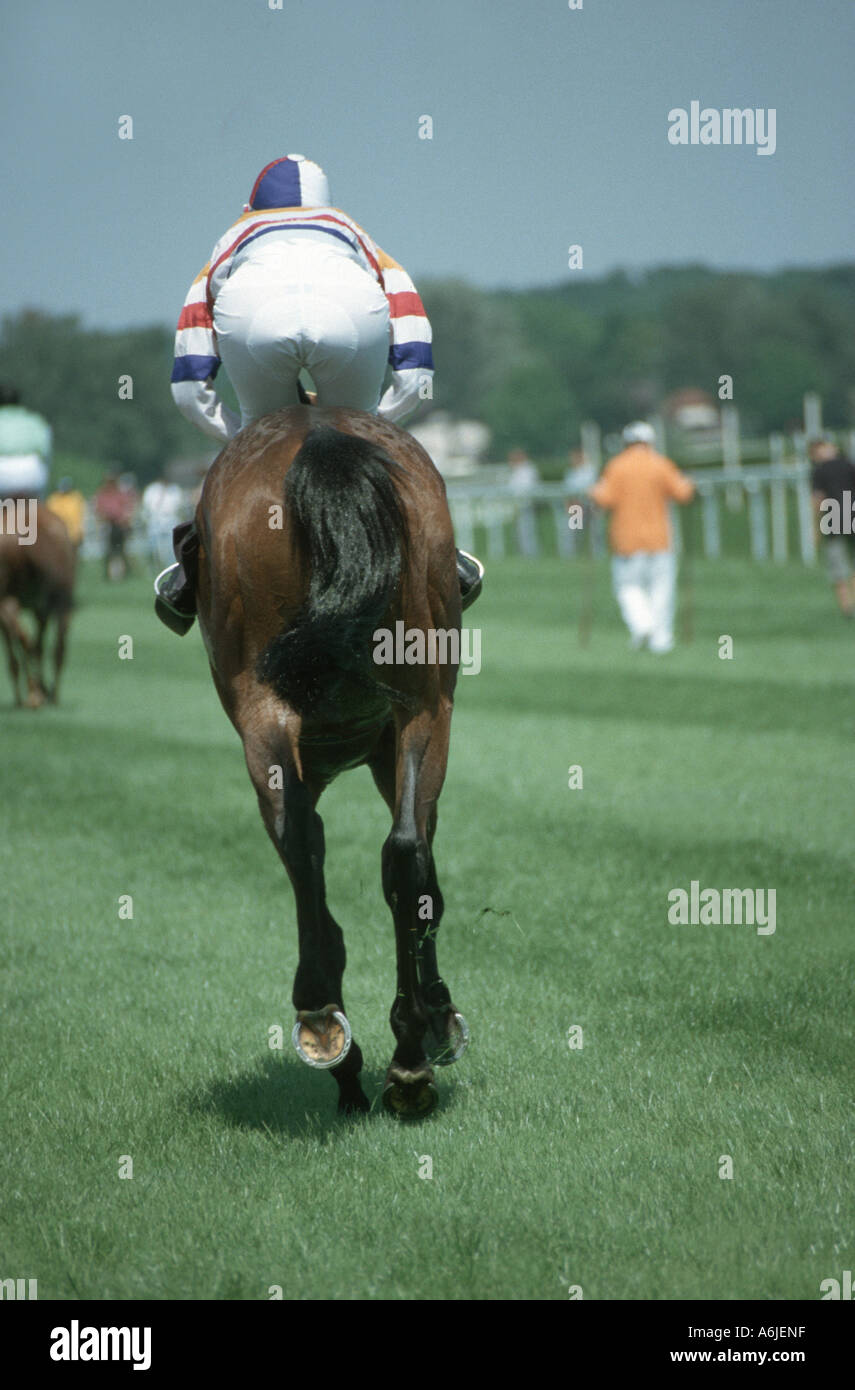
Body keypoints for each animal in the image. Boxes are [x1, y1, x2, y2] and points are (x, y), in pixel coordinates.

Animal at [0, 503, 75, 706]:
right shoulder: (49, 604)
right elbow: (43, 647)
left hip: (11, 599)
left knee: (22, 638)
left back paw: (32, 693)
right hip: (58, 599)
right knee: (51, 645)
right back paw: (44, 692)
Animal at [196, 405, 467, 1117]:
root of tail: (313, 427)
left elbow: (319, 858)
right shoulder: (396, 737)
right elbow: (421, 876)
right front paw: (434, 1018)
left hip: (270, 716)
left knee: (308, 847)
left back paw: (327, 1024)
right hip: (425, 705)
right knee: (403, 854)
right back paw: (406, 1054)